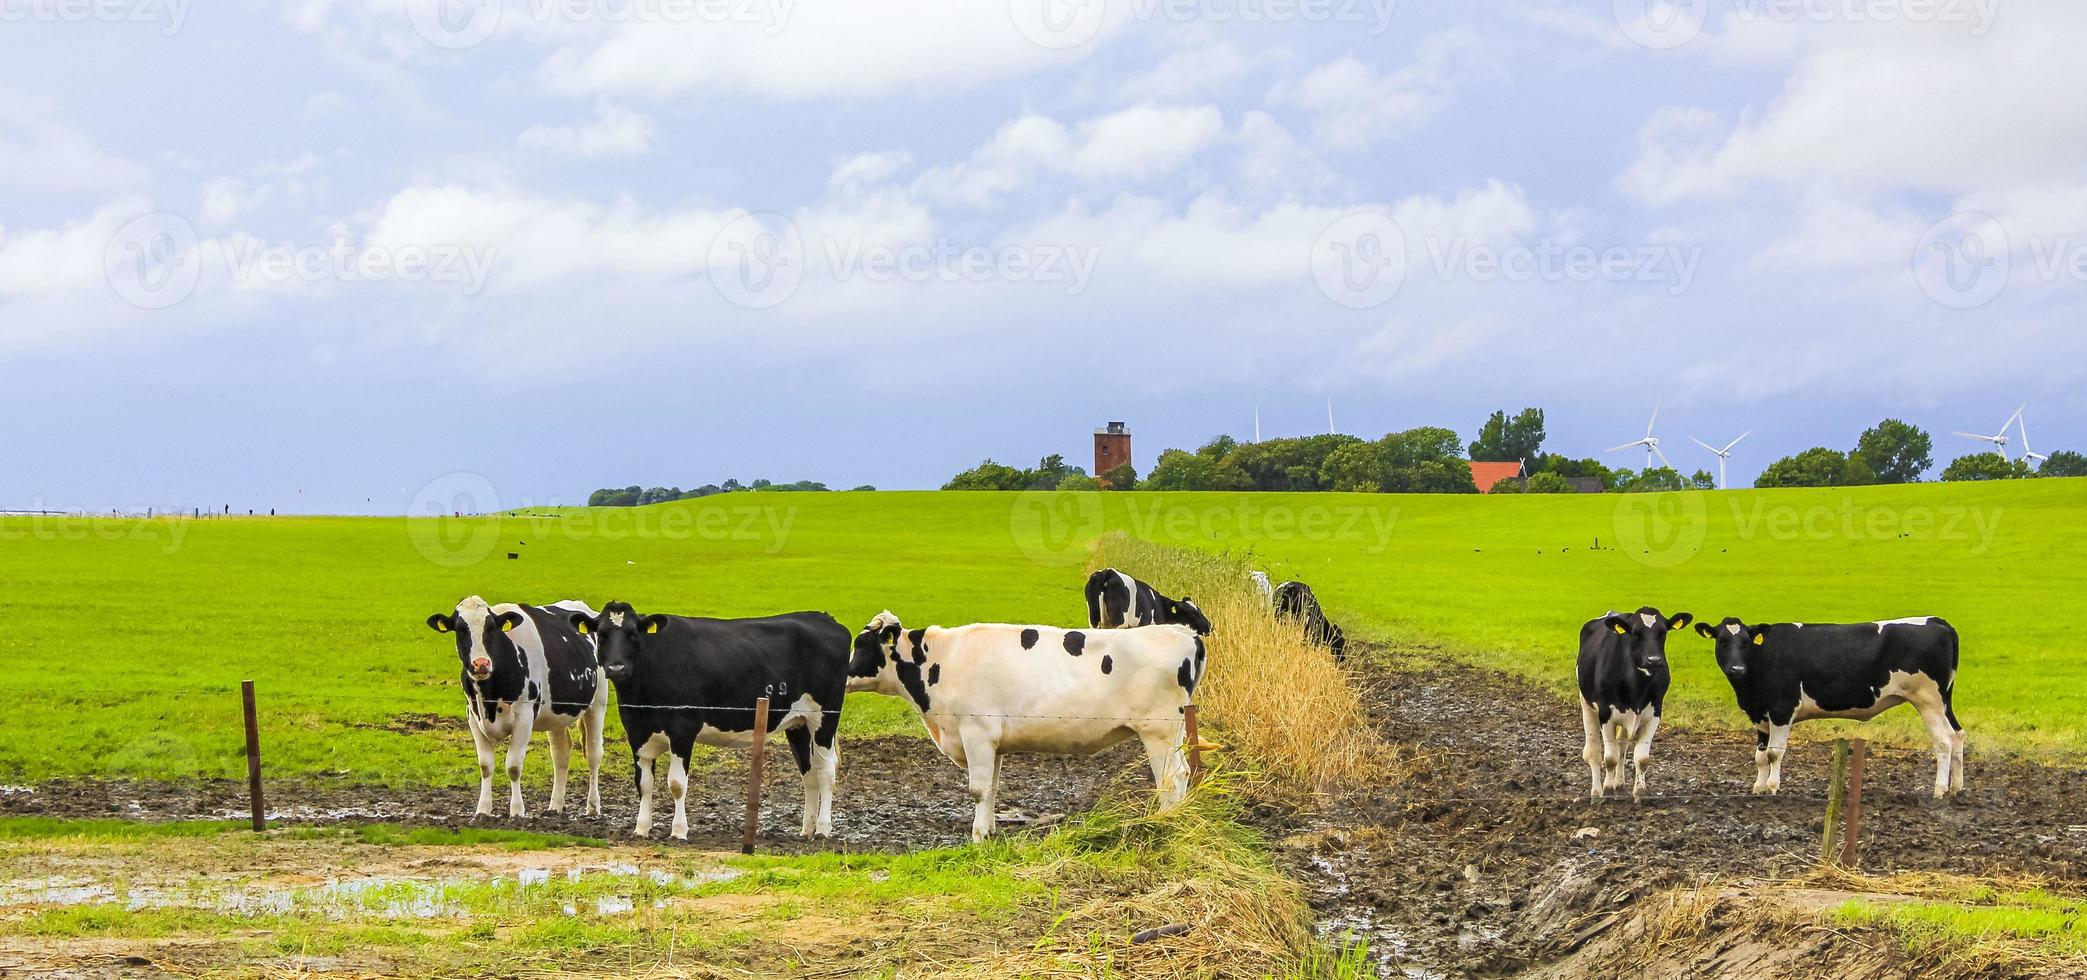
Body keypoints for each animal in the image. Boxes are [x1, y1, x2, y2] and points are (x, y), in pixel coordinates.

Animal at [571, 600, 847, 838]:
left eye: (632, 634)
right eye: (602, 634)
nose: (617, 668)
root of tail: (823, 618)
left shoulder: (682, 730)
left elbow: (676, 784)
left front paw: (679, 831)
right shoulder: (636, 733)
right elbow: (644, 783)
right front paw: (641, 828)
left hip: (824, 719)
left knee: (825, 771)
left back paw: (823, 829)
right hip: (799, 724)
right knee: (809, 773)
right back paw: (807, 829)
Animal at [847, 608, 1210, 838]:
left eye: (861, 645)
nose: (842, 675)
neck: (941, 661)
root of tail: (1181, 632)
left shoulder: (976, 733)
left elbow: (978, 789)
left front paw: (978, 836)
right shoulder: (993, 742)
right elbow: (992, 789)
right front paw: (990, 830)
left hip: (1158, 730)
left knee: (1171, 778)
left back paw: (1166, 822)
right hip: (1173, 729)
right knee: (1183, 772)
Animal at [1085, 567, 1218, 633]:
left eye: (1199, 609)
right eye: (1193, 613)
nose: (1210, 626)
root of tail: (1108, 572)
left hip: (1094, 620)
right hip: (1119, 623)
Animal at [1569, 604, 1686, 804]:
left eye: (1663, 632)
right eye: (1636, 633)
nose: (1654, 660)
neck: (1637, 685)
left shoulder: (1655, 712)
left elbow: (1642, 758)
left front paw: (1639, 793)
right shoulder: (1605, 713)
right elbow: (1610, 758)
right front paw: (1607, 790)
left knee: (1622, 747)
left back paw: (1620, 784)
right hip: (1586, 704)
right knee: (1594, 753)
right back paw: (1597, 793)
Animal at [1694, 617, 1970, 800]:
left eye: (1745, 642)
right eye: (1722, 641)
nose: (1736, 669)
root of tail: (1937, 622)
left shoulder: (1783, 708)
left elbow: (1774, 753)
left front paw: (1772, 787)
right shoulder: (1760, 714)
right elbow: (1760, 756)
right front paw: (1758, 787)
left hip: (1928, 700)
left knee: (1943, 741)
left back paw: (1939, 790)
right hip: (1943, 701)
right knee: (1957, 734)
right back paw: (1956, 787)